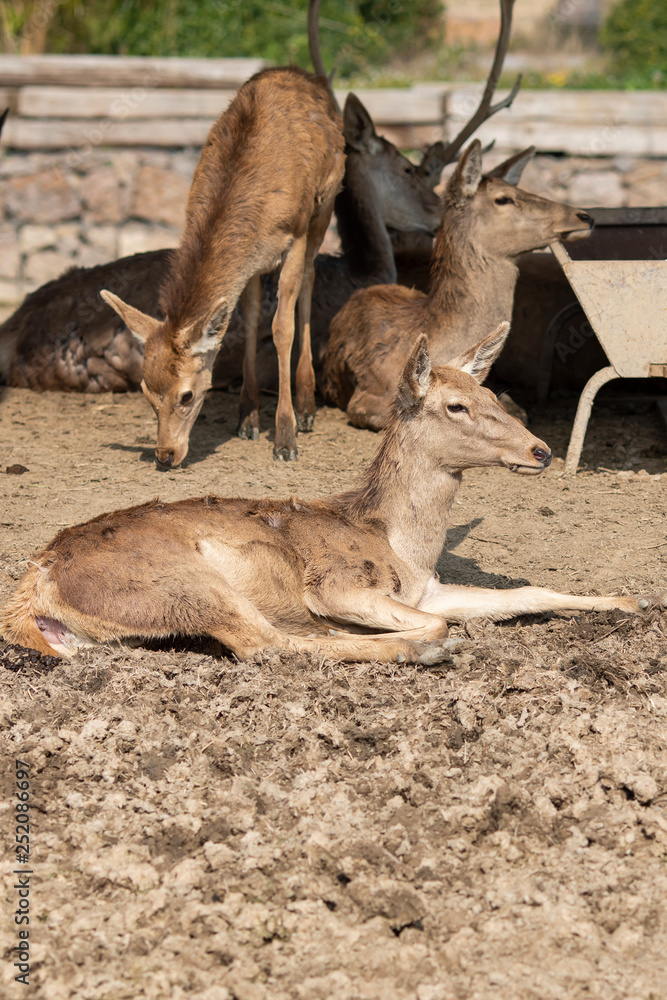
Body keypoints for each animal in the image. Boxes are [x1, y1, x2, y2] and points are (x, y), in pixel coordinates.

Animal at [3, 323, 664, 663]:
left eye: (494, 394)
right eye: (456, 405)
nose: (541, 451)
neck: (400, 544)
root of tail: (34, 582)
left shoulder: (428, 587)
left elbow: (524, 592)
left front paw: (632, 601)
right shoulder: (341, 584)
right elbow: (433, 622)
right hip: (182, 583)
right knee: (265, 644)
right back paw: (404, 648)